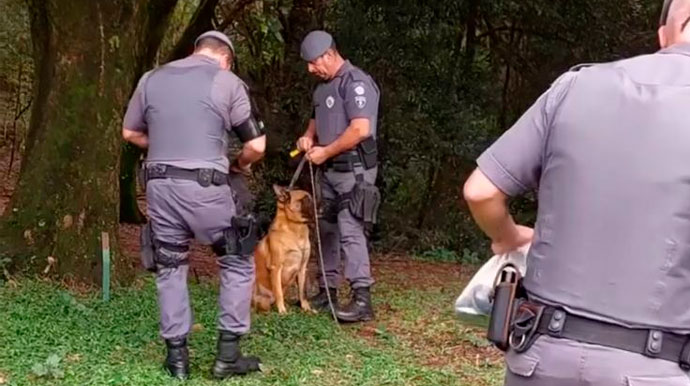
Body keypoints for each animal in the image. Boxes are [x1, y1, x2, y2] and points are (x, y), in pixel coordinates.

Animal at [251, 184, 314, 314]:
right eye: (305, 199)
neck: (296, 230)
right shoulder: (276, 268)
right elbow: (278, 292)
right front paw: (282, 311)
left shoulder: (302, 268)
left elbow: (302, 292)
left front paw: (306, 308)